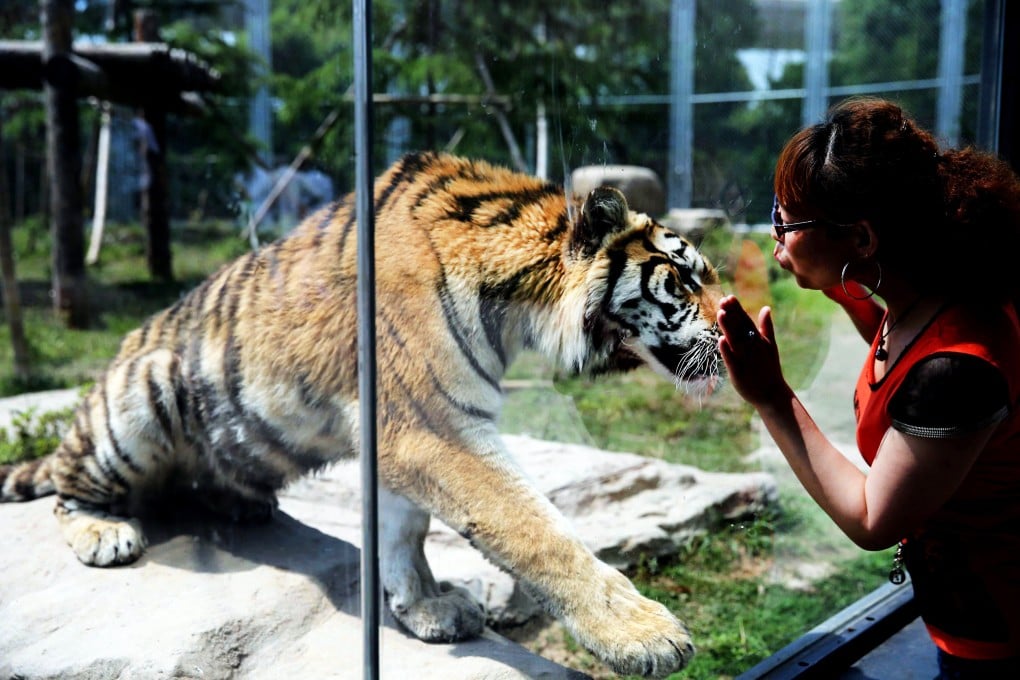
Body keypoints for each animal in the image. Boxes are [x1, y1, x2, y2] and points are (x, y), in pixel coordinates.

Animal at [0, 152, 722, 678]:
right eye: (687, 281)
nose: (734, 328)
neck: (519, 306)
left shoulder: (406, 432)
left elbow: (405, 532)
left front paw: (425, 607)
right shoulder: (430, 428)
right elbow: (535, 530)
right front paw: (645, 635)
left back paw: (240, 505)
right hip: (140, 395)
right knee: (67, 486)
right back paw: (104, 533)